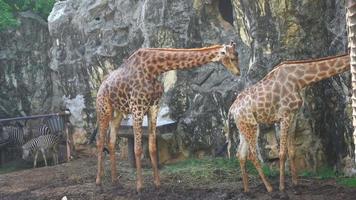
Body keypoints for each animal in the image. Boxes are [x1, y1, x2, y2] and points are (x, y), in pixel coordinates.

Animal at [95, 41, 239, 192]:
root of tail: (101, 85)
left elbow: (152, 147)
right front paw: (140, 186)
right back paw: (99, 181)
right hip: (104, 109)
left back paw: (115, 181)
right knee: (100, 141)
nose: (238, 72)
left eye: (237, 55)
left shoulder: (153, 108)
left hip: (117, 112)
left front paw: (157, 183)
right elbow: (138, 149)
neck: (153, 69)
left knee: (111, 141)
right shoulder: (137, 108)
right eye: (232, 58)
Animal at [228, 53, 350, 192]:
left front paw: (295, 183)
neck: (299, 79)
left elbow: (291, 151)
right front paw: (282, 186)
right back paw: (269, 187)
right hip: (252, 126)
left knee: (240, 154)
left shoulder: (294, 116)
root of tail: (232, 109)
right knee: (252, 155)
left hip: (243, 126)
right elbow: (282, 153)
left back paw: (247, 189)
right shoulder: (284, 115)